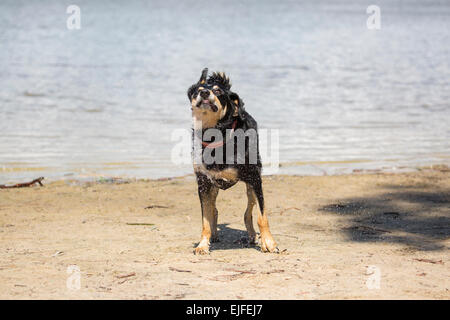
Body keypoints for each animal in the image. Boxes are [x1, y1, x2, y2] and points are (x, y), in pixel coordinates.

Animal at [186, 68, 278, 255]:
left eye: (218, 91)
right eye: (198, 90)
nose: (204, 93)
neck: (215, 136)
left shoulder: (255, 178)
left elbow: (262, 216)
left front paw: (269, 243)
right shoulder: (203, 183)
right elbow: (205, 219)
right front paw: (202, 244)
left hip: (251, 185)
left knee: (248, 212)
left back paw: (252, 236)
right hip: (214, 187)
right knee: (214, 210)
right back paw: (214, 235)